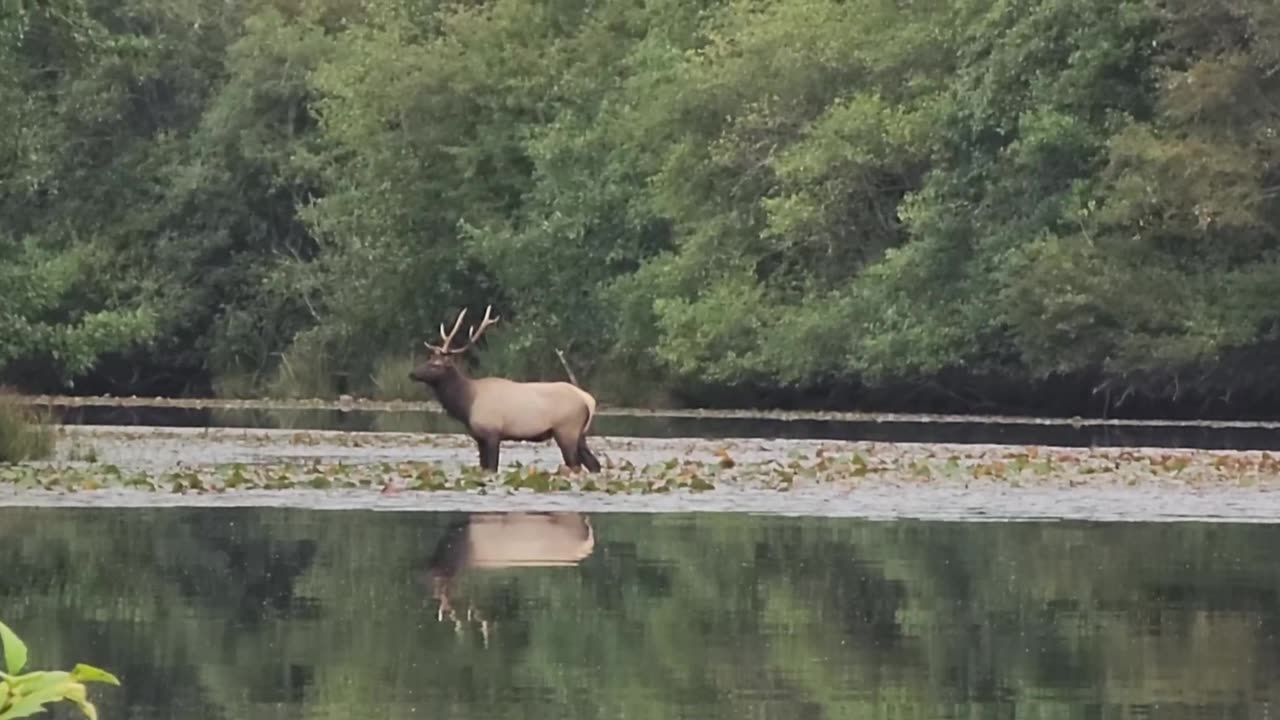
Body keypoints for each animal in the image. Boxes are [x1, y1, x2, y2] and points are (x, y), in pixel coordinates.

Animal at [412, 302, 606, 471]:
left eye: (436, 364)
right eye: (429, 358)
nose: (412, 373)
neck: (466, 404)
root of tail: (588, 400)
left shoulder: (492, 433)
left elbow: (493, 467)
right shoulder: (479, 437)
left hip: (567, 430)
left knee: (576, 464)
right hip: (580, 434)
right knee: (594, 464)